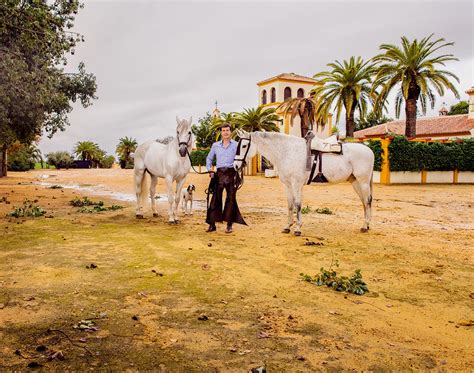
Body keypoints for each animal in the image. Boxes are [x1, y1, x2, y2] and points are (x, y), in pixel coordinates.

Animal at [233, 131, 374, 234]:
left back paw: (365, 226)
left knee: (367, 201)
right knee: (364, 202)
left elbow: (298, 204)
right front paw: (287, 226)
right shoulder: (288, 185)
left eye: (244, 146)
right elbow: (290, 205)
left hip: (363, 182)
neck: (287, 152)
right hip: (355, 182)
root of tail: (369, 150)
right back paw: (366, 225)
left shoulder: (296, 184)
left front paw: (297, 228)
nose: (235, 166)